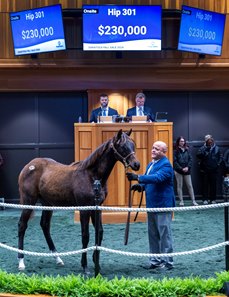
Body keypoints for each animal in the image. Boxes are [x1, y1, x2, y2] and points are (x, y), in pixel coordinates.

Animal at [17, 128, 140, 272]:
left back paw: (58, 259)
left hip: (47, 204)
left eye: (133, 145)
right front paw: (85, 266)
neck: (91, 176)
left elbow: (99, 232)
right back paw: (21, 262)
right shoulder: (84, 209)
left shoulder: (97, 208)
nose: (136, 164)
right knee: (22, 225)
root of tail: (29, 166)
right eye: (123, 146)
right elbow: (85, 235)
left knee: (45, 226)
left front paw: (96, 262)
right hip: (28, 201)